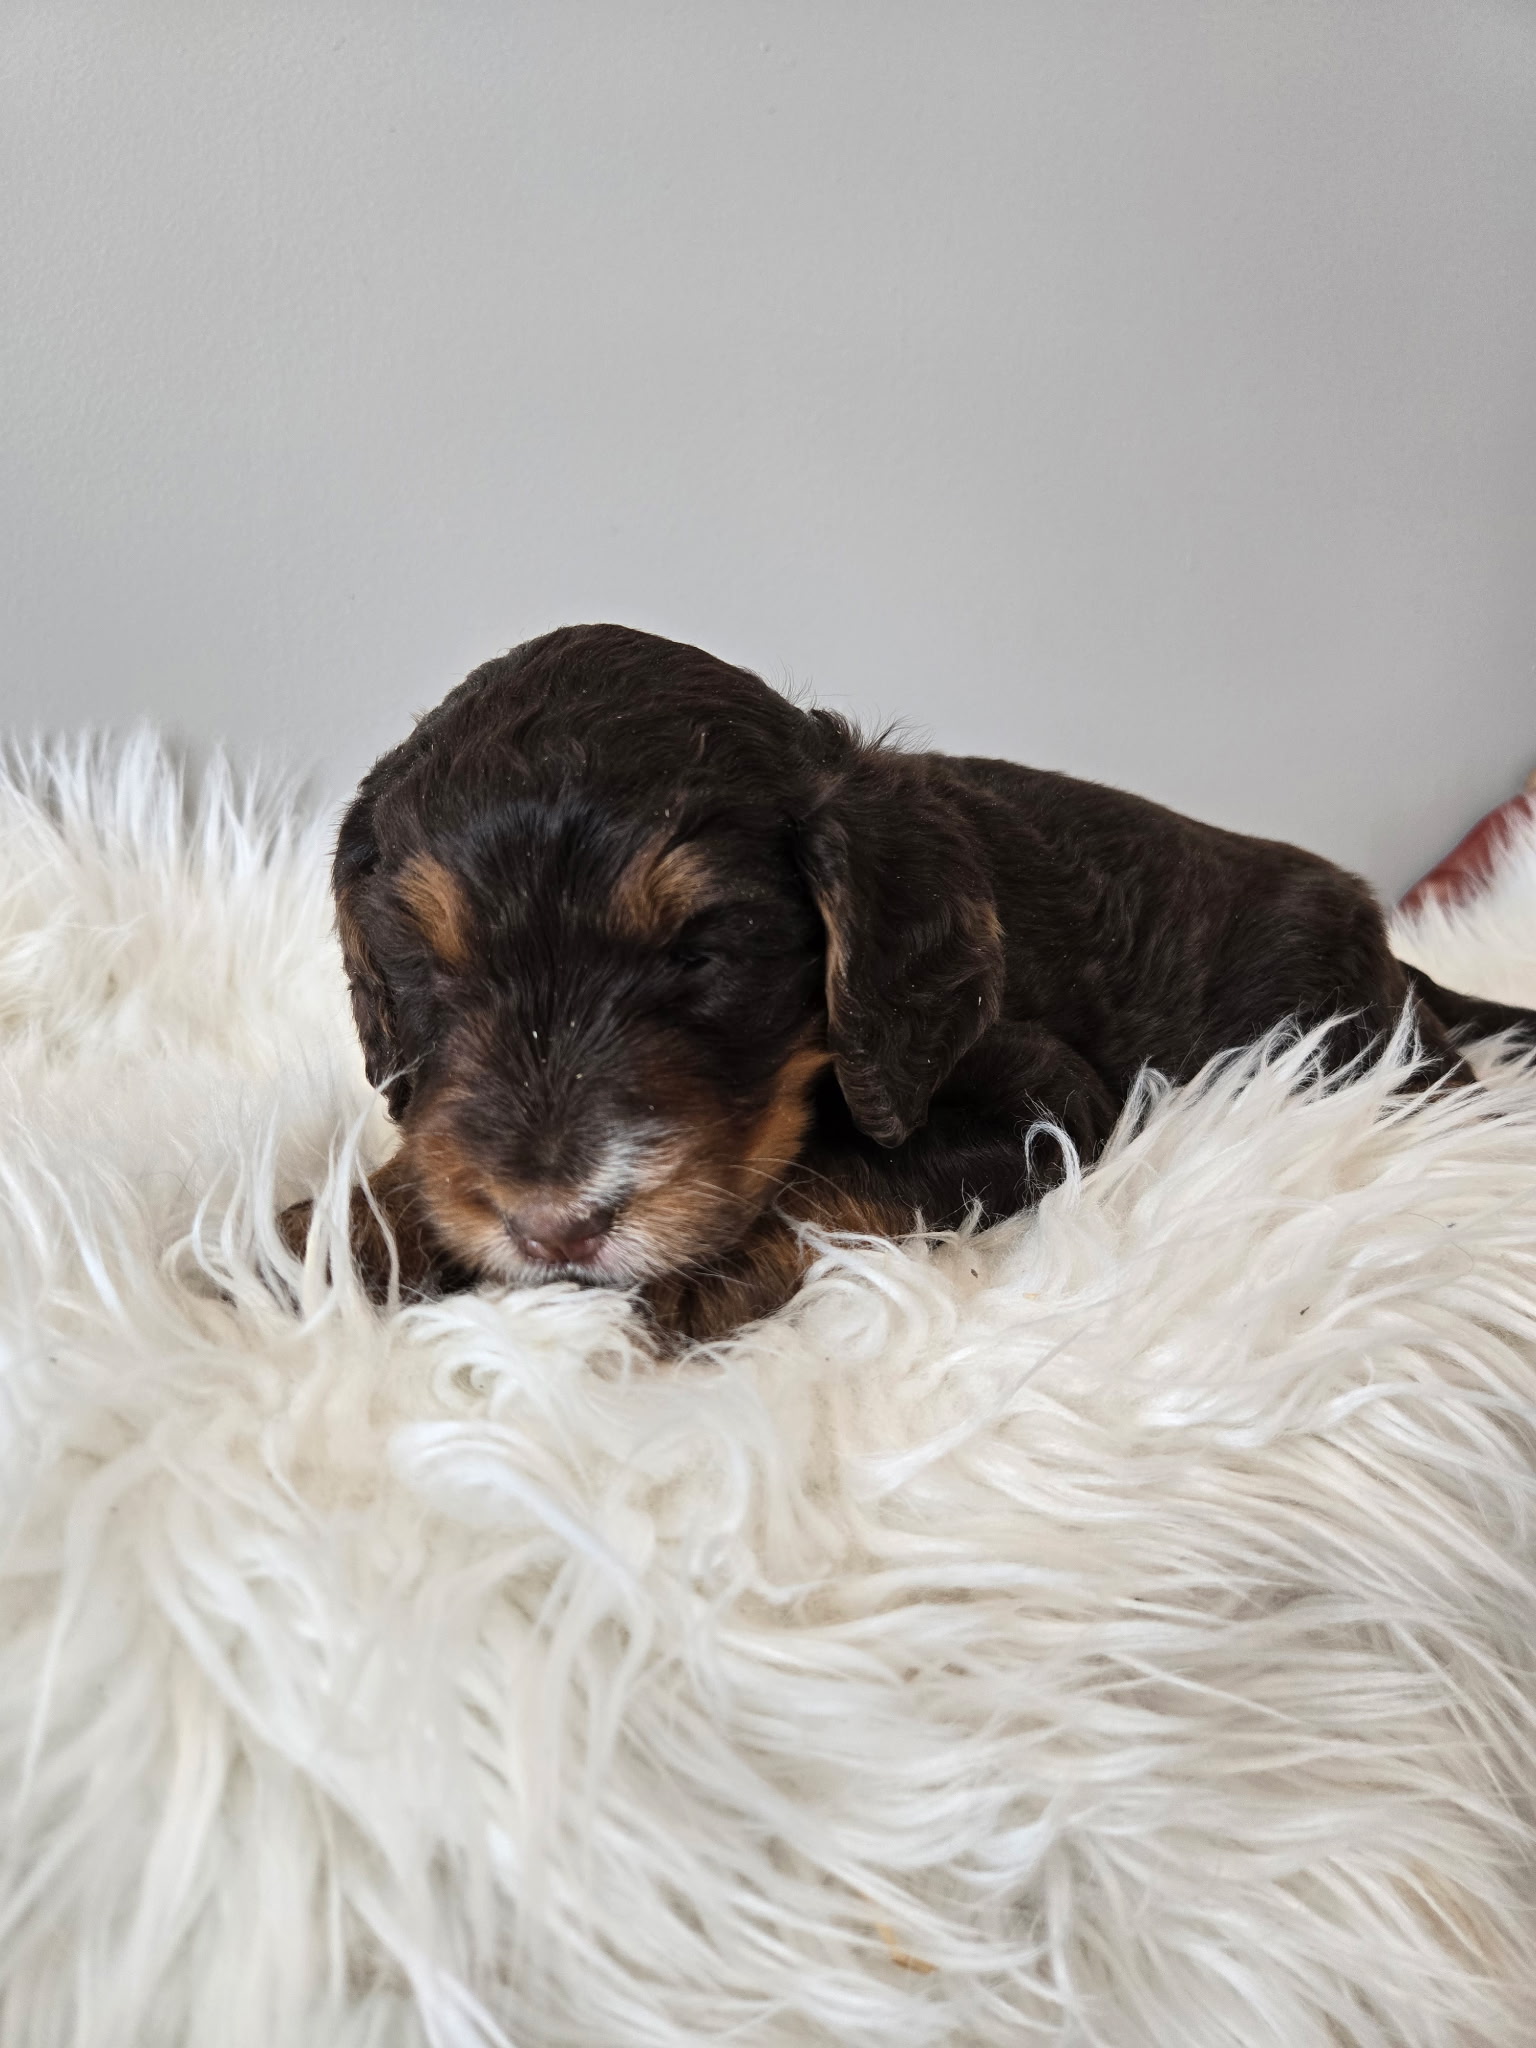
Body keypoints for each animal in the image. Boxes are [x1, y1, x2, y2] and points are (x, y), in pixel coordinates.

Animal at [282, 623, 1533, 1341]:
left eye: (704, 955)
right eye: (428, 972)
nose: (554, 1225)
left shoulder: (1045, 1098)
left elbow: (835, 1166)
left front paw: (704, 1265)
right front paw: (333, 1231)